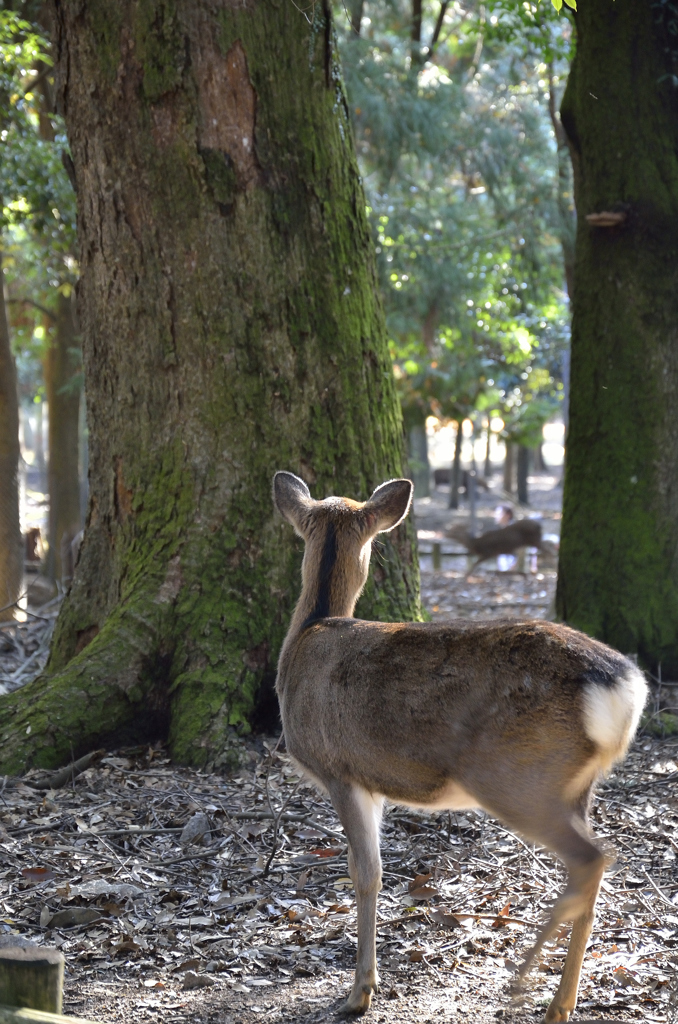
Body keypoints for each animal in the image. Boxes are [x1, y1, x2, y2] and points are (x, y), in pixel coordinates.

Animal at [274, 473, 647, 1024]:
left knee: (592, 858)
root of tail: (622, 687)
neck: (308, 631)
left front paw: (359, 992)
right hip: (578, 782)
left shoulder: (340, 769)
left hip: (514, 774)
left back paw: (522, 983)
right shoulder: (374, 783)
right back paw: (561, 1001)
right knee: (595, 867)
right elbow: (369, 868)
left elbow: (366, 874)